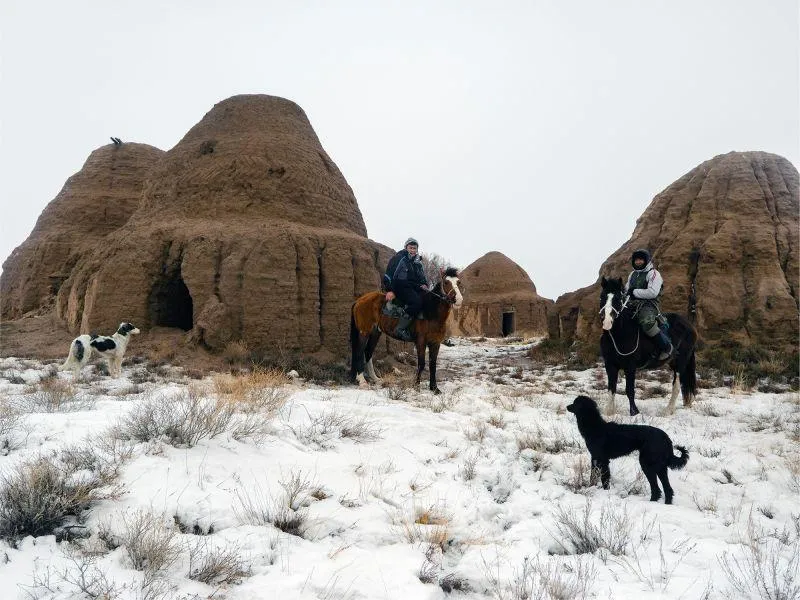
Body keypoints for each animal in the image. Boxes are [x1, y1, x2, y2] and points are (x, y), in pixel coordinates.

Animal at [564, 396, 692, 504]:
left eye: (576, 403)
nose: (567, 406)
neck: (595, 427)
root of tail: (665, 437)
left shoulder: (603, 460)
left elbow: (605, 478)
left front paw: (605, 492)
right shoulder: (594, 458)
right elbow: (593, 476)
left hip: (648, 464)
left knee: (657, 488)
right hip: (660, 467)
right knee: (667, 489)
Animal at [600, 278, 692, 414]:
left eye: (618, 298)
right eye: (602, 297)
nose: (607, 321)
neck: (621, 334)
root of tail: (689, 325)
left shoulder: (630, 366)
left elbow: (629, 390)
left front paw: (634, 412)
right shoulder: (610, 365)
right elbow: (611, 389)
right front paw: (609, 412)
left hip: (680, 363)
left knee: (676, 386)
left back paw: (668, 410)